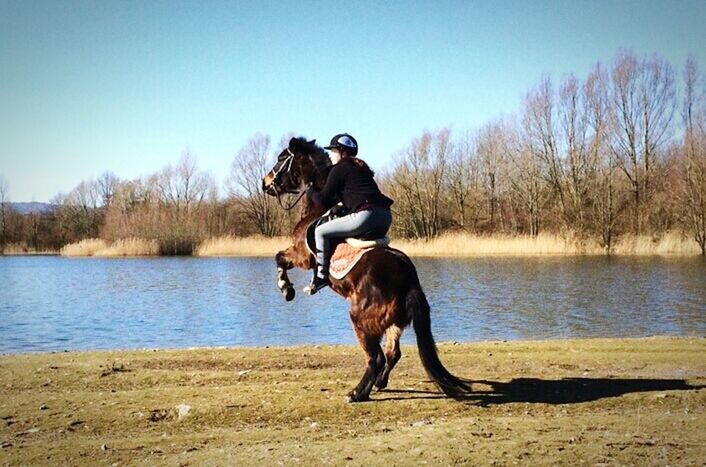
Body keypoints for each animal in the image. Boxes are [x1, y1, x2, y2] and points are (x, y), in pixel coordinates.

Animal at [258, 136, 468, 402]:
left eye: (281, 159)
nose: (265, 183)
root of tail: (409, 282)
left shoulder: (302, 256)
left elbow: (279, 258)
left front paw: (287, 289)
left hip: (361, 319)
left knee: (376, 357)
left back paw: (357, 393)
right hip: (394, 322)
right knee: (392, 353)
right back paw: (378, 383)